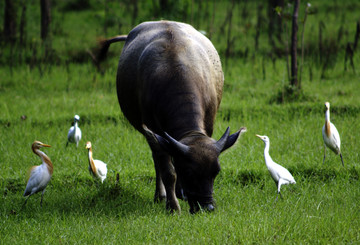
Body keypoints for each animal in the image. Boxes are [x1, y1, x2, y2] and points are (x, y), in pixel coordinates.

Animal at [101, 21, 248, 212]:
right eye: (188, 172)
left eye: (216, 171)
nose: (207, 207)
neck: (176, 71)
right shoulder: (153, 130)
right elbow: (168, 171)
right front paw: (172, 206)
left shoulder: (208, 125)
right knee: (158, 161)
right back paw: (162, 195)